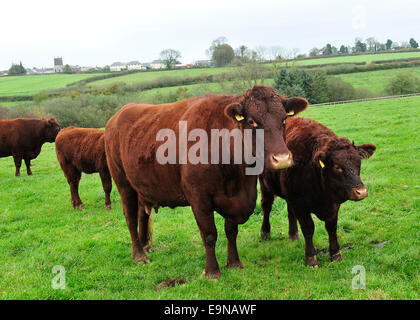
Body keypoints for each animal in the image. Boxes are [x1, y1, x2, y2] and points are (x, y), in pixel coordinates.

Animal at [105, 85, 308, 278]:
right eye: (252, 122)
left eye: (283, 120)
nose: (282, 159)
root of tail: (117, 115)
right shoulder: (198, 197)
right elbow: (209, 234)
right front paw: (212, 271)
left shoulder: (234, 197)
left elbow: (231, 230)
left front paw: (234, 263)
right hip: (123, 183)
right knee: (130, 217)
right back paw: (139, 255)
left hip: (142, 187)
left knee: (142, 214)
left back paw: (145, 245)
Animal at [258, 117, 376, 268]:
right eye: (337, 167)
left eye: (358, 163)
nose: (361, 191)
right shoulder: (300, 204)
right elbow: (308, 228)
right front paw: (310, 258)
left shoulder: (333, 204)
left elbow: (331, 227)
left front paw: (336, 254)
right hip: (264, 183)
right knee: (266, 206)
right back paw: (265, 233)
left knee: (289, 210)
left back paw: (293, 235)